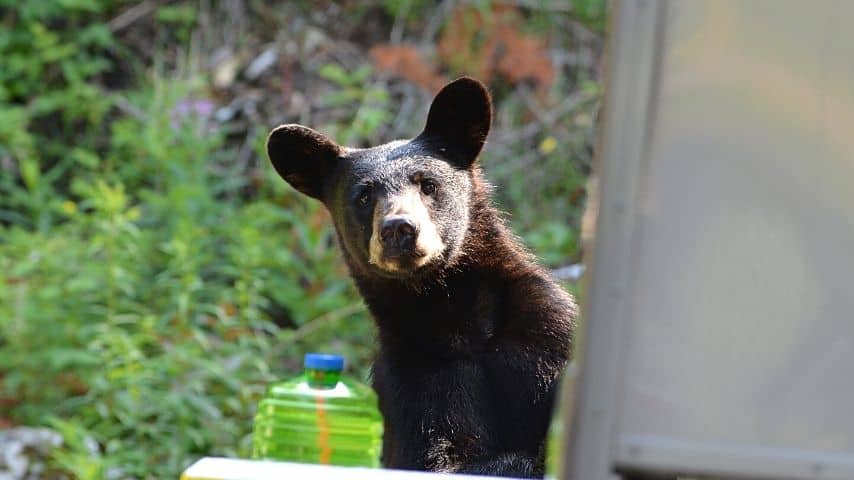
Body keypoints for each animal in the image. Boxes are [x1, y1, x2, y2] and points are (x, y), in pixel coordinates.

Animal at [268, 78, 576, 476]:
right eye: (363, 196)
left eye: (428, 184)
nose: (399, 229)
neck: (453, 315)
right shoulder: (409, 380)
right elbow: (432, 456)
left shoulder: (547, 333)